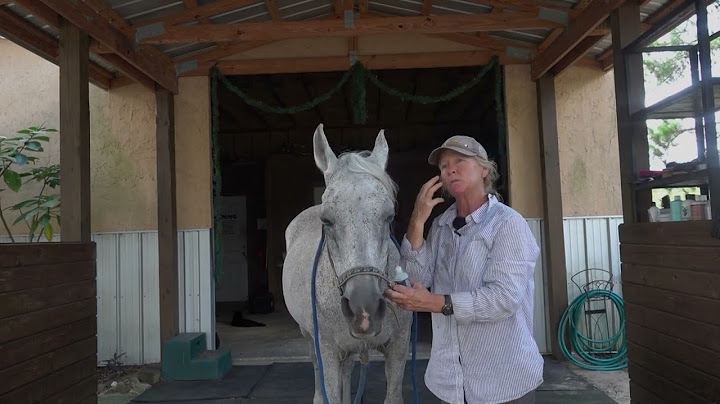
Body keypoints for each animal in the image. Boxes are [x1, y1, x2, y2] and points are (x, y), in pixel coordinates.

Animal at [284, 124, 414, 404]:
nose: (364, 311)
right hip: (309, 338)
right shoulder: (327, 351)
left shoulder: (398, 348)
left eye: (390, 216)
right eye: (326, 220)